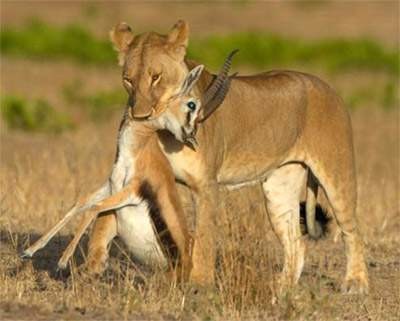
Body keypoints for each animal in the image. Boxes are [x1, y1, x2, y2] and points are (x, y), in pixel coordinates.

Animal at [86, 19, 368, 292]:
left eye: (156, 77)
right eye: (128, 80)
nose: (140, 116)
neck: (163, 129)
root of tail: (327, 86)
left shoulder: (206, 185)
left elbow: (204, 236)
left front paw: (199, 283)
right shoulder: (130, 172)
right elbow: (104, 216)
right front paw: (92, 266)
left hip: (337, 173)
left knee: (352, 231)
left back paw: (356, 283)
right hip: (280, 188)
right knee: (296, 244)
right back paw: (281, 289)